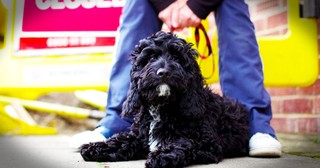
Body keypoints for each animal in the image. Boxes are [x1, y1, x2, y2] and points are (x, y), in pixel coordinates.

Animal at [80, 31, 250, 167]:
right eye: (151, 57)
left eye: (176, 58)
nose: (163, 72)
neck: (163, 106)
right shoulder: (140, 137)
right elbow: (122, 140)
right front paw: (96, 147)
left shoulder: (208, 144)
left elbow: (185, 142)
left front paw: (162, 156)